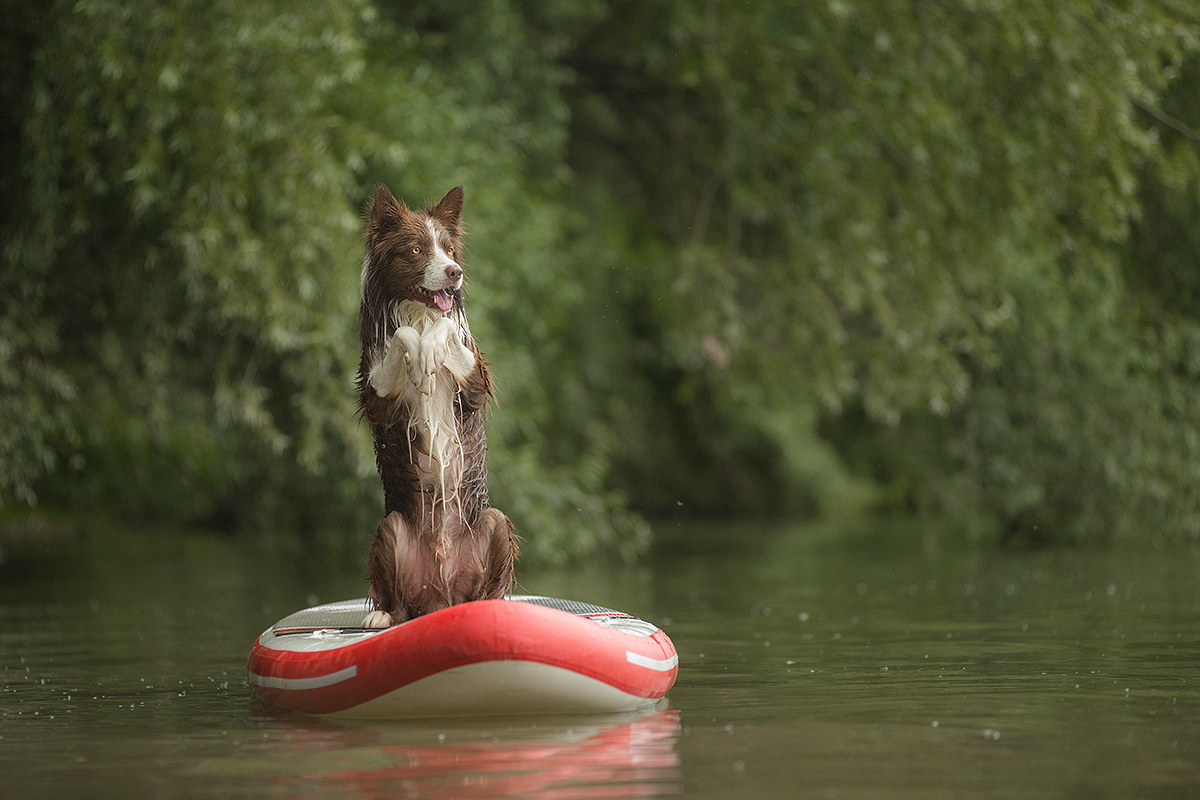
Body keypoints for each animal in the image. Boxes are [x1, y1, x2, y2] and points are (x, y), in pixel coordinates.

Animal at [360, 184, 520, 628]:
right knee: (397, 603)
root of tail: (442, 598)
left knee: (486, 590)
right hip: (391, 529)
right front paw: (418, 350)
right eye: (416, 250)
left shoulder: (473, 386)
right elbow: (402, 337)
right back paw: (382, 615)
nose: (455, 272)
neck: (421, 312)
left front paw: (431, 348)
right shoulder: (378, 396)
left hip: (495, 523)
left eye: (448, 249)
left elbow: (446, 328)